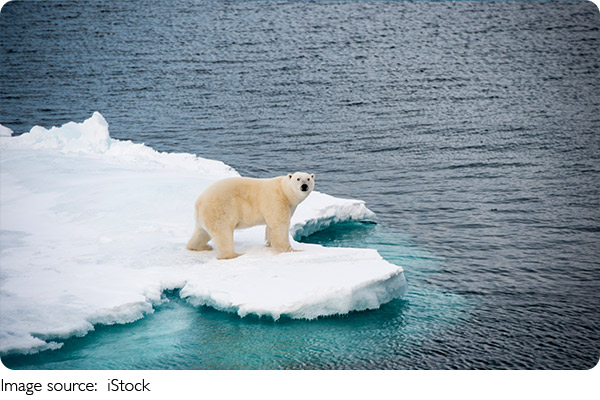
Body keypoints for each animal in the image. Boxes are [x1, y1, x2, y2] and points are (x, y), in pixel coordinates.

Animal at [188, 171, 316, 260]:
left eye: (308, 178)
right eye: (298, 178)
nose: (304, 186)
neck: (284, 191)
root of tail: (199, 202)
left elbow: (270, 226)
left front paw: (269, 243)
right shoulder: (276, 199)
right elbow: (280, 225)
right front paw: (292, 250)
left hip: (204, 216)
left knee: (201, 233)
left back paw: (200, 247)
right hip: (220, 209)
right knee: (223, 233)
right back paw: (234, 255)